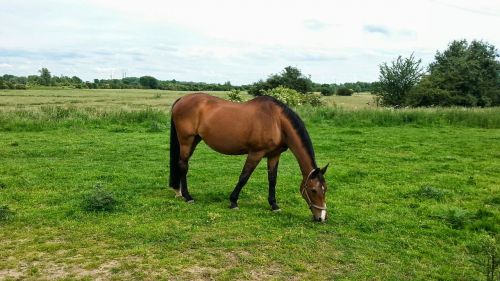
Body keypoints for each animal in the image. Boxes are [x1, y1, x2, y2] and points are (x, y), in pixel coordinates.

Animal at [170, 92, 330, 221]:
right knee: (183, 165)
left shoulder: (274, 155)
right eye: (313, 190)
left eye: (325, 189)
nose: (321, 218)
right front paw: (233, 202)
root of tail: (182, 99)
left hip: (194, 140)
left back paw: (179, 192)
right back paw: (187, 196)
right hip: (186, 141)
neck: (276, 121)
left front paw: (274, 205)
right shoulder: (255, 153)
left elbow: (272, 179)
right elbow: (244, 177)